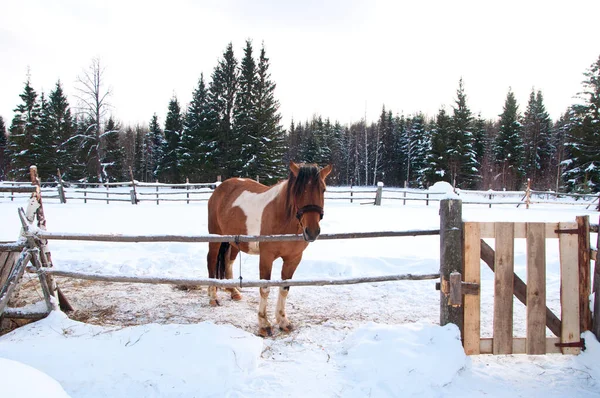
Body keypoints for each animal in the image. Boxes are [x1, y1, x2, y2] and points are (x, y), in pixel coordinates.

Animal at [207, 162, 332, 336]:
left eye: (323, 189)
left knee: (228, 261)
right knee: (211, 261)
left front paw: (283, 321)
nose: (312, 231)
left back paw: (233, 291)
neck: (282, 218)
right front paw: (264, 324)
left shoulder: (293, 259)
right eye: (298, 191)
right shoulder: (266, 257)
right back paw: (212, 297)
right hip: (215, 237)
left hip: (234, 241)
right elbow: (265, 289)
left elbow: (284, 288)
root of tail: (220, 188)